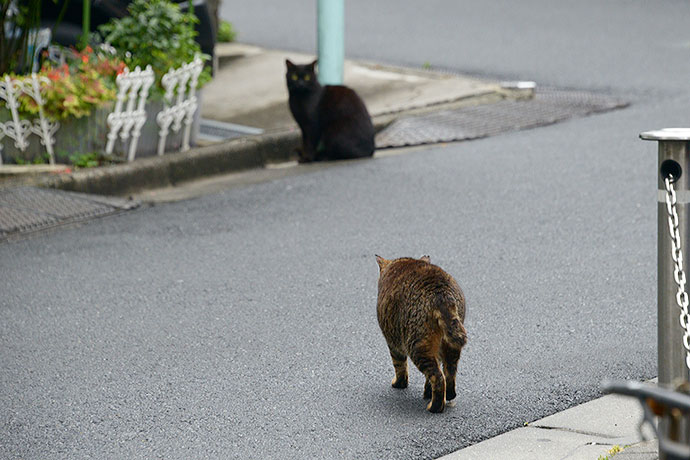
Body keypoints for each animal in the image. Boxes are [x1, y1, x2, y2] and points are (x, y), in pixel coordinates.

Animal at [374, 255, 464, 414]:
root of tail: (442, 294)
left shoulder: (393, 343)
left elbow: (399, 365)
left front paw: (399, 383)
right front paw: (427, 392)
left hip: (417, 345)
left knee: (437, 377)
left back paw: (434, 407)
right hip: (450, 344)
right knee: (449, 372)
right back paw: (448, 395)